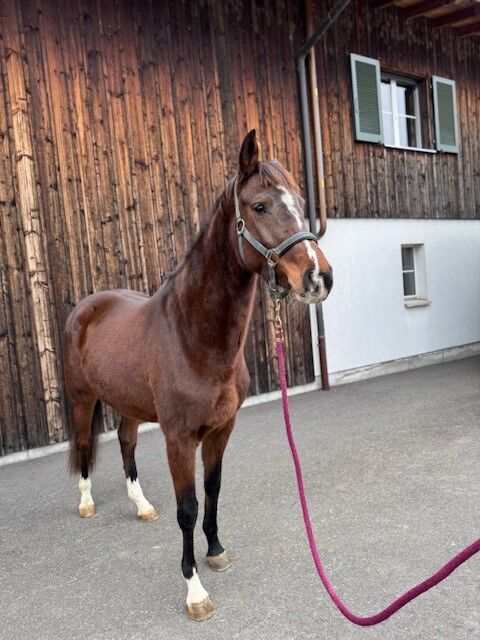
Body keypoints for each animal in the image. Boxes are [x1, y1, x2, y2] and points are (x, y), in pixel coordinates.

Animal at [63, 129, 332, 620]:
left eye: (303, 203)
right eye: (259, 206)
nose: (318, 277)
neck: (193, 338)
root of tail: (86, 307)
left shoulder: (221, 429)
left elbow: (213, 489)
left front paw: (216, 551)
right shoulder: (180, 437)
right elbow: (187, 507)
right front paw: (194, 591)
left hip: (129, 404)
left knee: (126, 443)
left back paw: (141, 506)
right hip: (81, 397)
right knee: (86, 444)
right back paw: (87, 502)